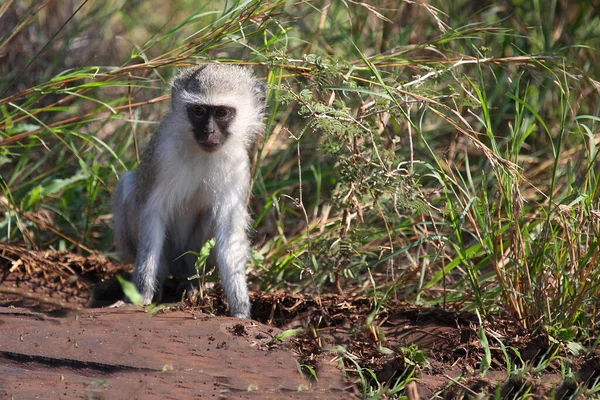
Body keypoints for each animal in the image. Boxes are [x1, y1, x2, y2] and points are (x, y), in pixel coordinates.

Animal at [112, 65, 264, 318]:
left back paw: (194, 282)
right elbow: (153, 214)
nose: (209, 131)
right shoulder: (163, 155)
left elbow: (229, 231)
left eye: (221, 113)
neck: (202, 153)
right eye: (199, 111)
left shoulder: (238, 165)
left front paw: (241, 310)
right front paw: (142, 293)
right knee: (128, 186)